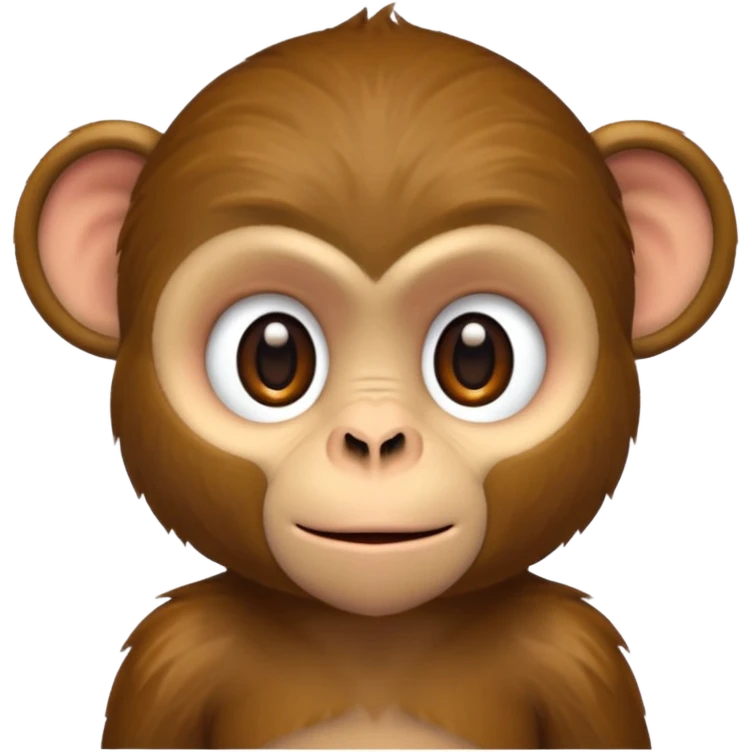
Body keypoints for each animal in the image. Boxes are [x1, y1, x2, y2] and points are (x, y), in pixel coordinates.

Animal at [12, 4, 738, 750]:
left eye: (475, 355)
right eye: (273, 355)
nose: (374, 439)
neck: (375, 640)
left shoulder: (575, 656)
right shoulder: (175, 655)